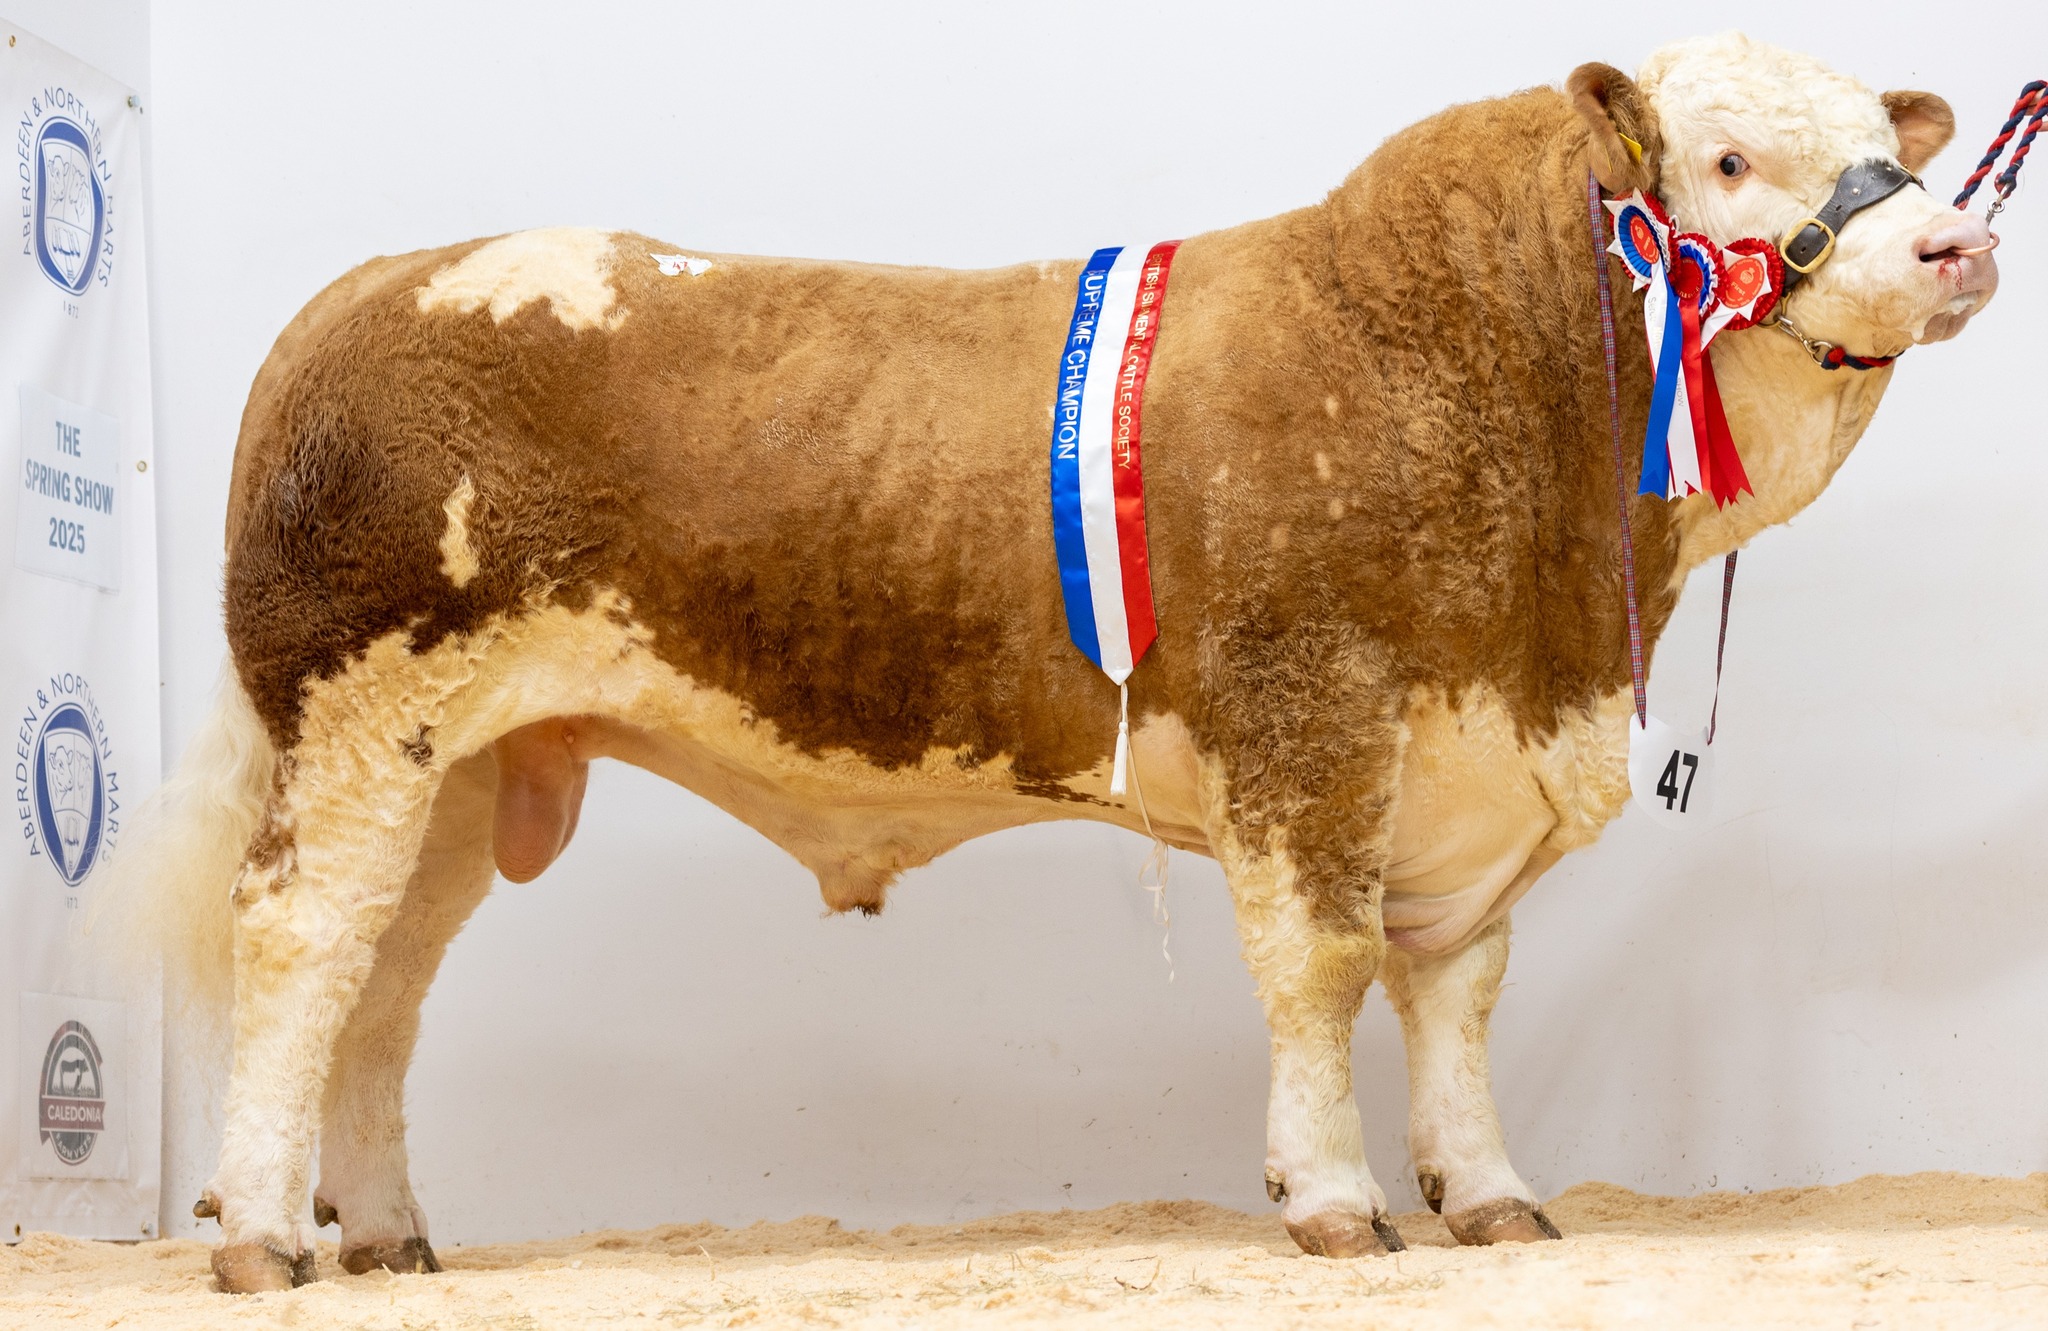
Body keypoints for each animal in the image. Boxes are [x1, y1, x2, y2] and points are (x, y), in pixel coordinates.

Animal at [115, 31, 1998, 1291]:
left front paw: (1489, 1195)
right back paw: (265, 1237)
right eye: (1728, 162)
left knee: (384, 986)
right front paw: (1333, 1202)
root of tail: (369, 288)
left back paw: (386, 1234)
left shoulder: (1473, 759)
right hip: (361, 720)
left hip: (459, 765)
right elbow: (1323, 970)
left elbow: (1454, 991)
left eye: (1885, 143)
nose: (1954, 240)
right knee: (301, 948)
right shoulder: (1306, 725)